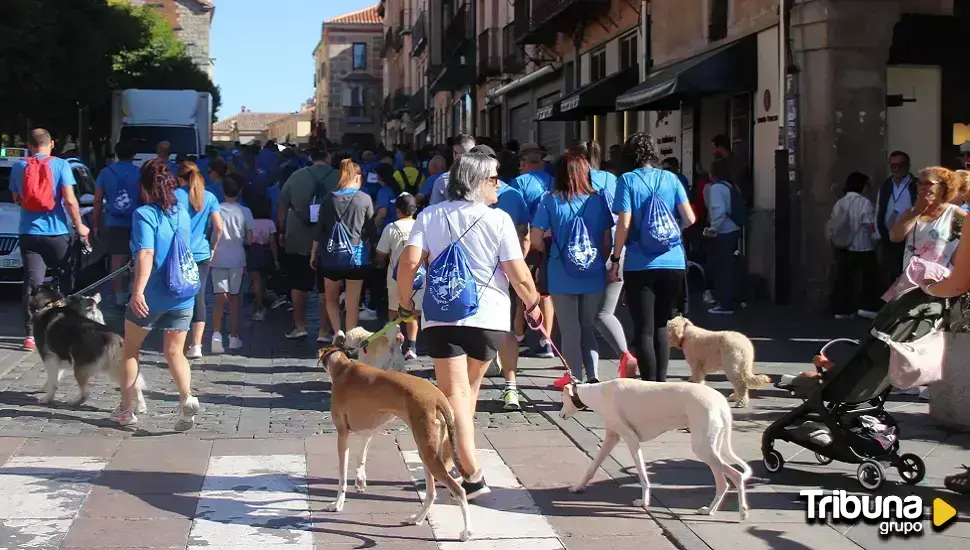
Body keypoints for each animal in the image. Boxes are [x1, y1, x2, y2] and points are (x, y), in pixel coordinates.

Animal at [28, 282, 147, 412]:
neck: (49, 305)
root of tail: (111, 337)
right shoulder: (59, 356)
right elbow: (55, 376)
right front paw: (45, 387)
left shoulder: (49, 358)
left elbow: (53, 381)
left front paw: (47, 398)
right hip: (116, 367)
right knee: (135, 386)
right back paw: (140, 407)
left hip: (79, 369)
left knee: (86, 393)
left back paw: (74, 402)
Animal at [318, 344, 472, 544]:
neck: (343, 368)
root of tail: (439, 397)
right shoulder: (370, 429)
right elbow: (361, 455)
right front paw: (360, 481)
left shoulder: (342, 434)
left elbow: (342, 475)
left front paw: (337, 504)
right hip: (427, 453)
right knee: (431, 493)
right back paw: (416, 519)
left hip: (428, 454)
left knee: (458, 491)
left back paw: (466, 532)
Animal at [560, 380, 748, 520]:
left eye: (562, 397)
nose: (561, 414)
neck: (599, 393)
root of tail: (721, 402)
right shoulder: (611, 439)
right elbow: (592, 467)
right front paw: (579, 487)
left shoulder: (632, 439)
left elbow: (643, 475)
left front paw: (643, 502)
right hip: (710, 449)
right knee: (723, 484)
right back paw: (709, 511)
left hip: (703, 449)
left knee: (737, 476)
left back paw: (743, 512)